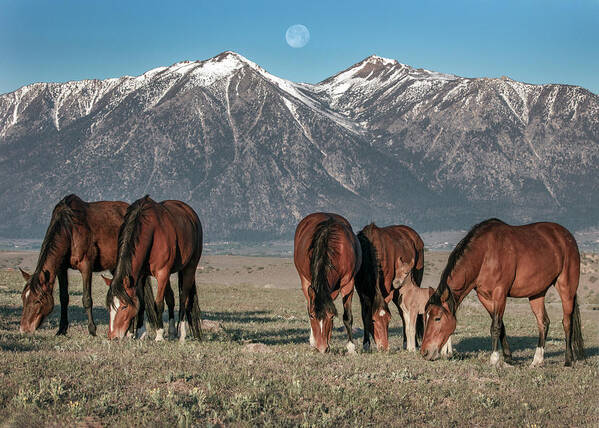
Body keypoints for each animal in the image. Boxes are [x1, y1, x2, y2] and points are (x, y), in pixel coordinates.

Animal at [105, 196, 204, 342]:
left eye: (124, 306)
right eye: (109, 306)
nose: (113, 336)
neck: (152, 233)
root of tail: (190, 213)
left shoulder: (162, 273)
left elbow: (158, 303)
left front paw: (159, 334)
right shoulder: (141, 276)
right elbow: (142, 303)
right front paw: (140, 333)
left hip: (189, 268)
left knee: (183, 299)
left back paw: (182, 334)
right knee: (171, 298)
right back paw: (172, 332)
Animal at [294, 211, 360, 354]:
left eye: (331, 316)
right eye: (312, 316)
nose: (322, 348)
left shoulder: (348, 283)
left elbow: (347, 316)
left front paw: (351, 347)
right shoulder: (309, 283)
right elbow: (310, 306)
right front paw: (313, 341)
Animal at [356, 224, 426, 352]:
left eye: (389, 319)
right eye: (373, 320)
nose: (384, 347)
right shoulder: (361, 293)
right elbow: (364, 315)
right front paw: (366, 344)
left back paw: (411, 343)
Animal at [422, 219, 584, 366]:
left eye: (437, 318)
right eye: (426, 316)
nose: (424, 352)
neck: (485, 255)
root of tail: (566, 236)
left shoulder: (500, 294)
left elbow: (495, 326)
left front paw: (494, 359)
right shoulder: (485, 298)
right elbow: (501, 327)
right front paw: (508, 357)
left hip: (566, 288)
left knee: (567, 322)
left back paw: (568, 360)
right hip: (537, 293)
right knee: (543, 322)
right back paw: (537, 360)